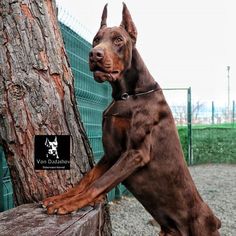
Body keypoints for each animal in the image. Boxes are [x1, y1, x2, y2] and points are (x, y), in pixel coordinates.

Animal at [42, 3, 221, 236]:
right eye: (96, 39)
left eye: (118, 39)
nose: (94, 54)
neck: (127, 95)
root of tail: (214, 220)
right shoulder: (112, 153)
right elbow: (87, 179)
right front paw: (61, 198)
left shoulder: (135, 153)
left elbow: (99, 184)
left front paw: (68, 204)